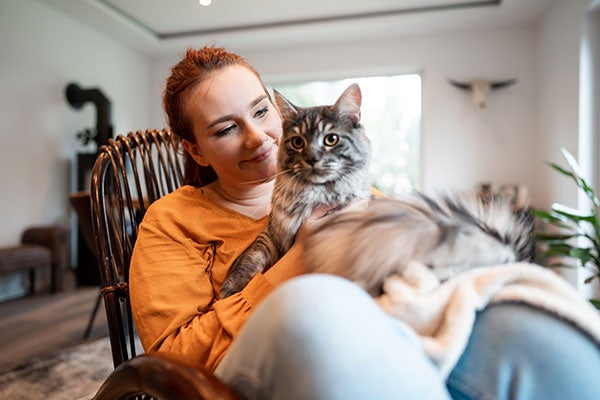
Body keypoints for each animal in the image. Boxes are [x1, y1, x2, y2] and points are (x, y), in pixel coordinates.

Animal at [219, 83, 370, 296]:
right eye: (298, 142)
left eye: (331, 139)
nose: (312, 159)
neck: (310, 195)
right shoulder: (272, 234)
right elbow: (252, 258)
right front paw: (230, 288)